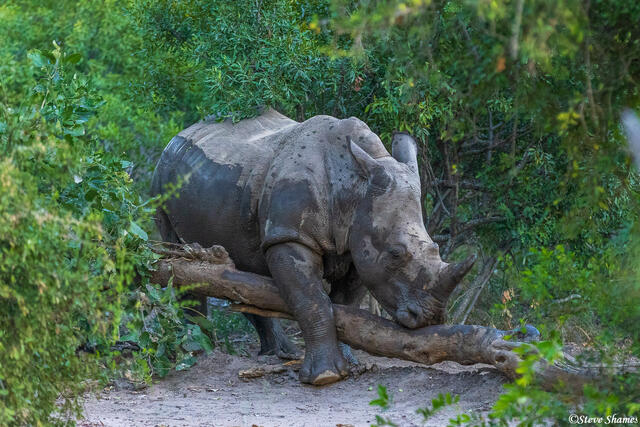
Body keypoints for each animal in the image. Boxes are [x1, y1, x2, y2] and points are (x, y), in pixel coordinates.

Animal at [151, 109, 475, 385]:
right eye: (395, 253)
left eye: (435, 247)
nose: (431, 317)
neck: (355, 188)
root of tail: (181, 133)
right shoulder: (290, 236)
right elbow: (311, 300)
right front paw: (325, 377)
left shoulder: (358, 247)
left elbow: (345, 304)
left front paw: (351, 363)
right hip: (163, 176)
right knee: (185, 262)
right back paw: (201, 351)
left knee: (242, 273)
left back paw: (281, 354)